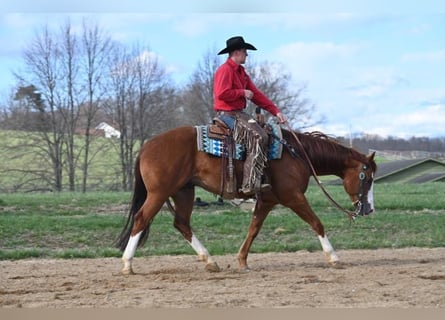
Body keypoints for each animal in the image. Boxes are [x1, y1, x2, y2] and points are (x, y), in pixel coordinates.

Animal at [114, 125, 374, 276]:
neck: (297, 154)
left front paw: (242, 261)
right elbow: (316, 223)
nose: (369, 209)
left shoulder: (267, 200)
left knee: (181, 223)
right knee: (141, 219)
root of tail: (147, 146)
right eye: (367, 177)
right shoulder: (293, 197)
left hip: (183, 192)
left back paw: (210, 261)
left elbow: (253, 229)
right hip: (159, 193)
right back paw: (127, 264)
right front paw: (334, 257)